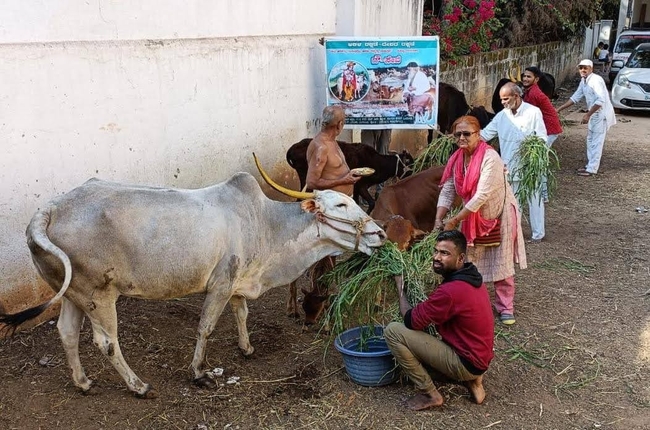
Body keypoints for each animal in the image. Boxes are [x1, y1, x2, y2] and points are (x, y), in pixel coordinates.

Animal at [0, 162, 384, 400]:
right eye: (340, 204)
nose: (380, 234)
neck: (264, 223)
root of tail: (50, 209)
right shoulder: (220, 284)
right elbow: (206, 328)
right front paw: (199, 372)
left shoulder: (236, 282)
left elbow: (242, 314)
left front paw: (246, 348)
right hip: (99, 296)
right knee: (107, 342)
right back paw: (138, 386)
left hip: (71, 294)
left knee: (66, 332)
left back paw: (82, 382)